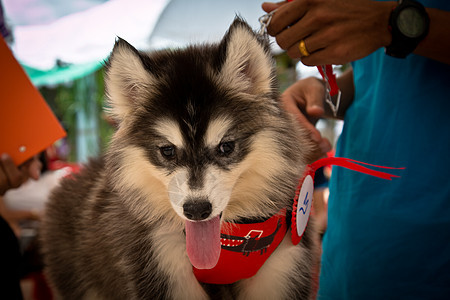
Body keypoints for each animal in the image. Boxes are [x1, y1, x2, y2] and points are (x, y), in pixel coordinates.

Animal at [40, 17, 318, 298]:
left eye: (226, 147)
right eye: (167, 151)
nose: (196, 210)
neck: (227, 246)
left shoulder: (283, 269)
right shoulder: (160, 264)